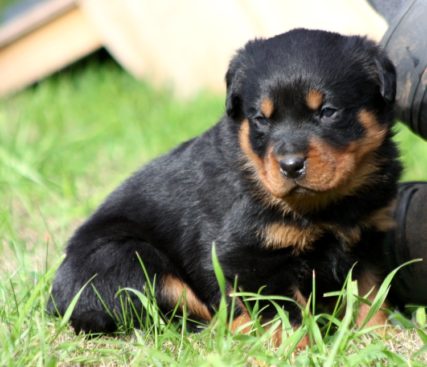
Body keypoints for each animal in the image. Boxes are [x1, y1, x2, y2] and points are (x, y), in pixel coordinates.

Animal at [48, 28, 402, 340]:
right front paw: (296, 348)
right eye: (261, 119)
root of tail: (55, 302)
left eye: (328, 112)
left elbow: (371, 292)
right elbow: (286, 313)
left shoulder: (368, 236)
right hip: (128, 260)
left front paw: (378, 335)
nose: (290, 166)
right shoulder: (249, 258)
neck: (325, 203)